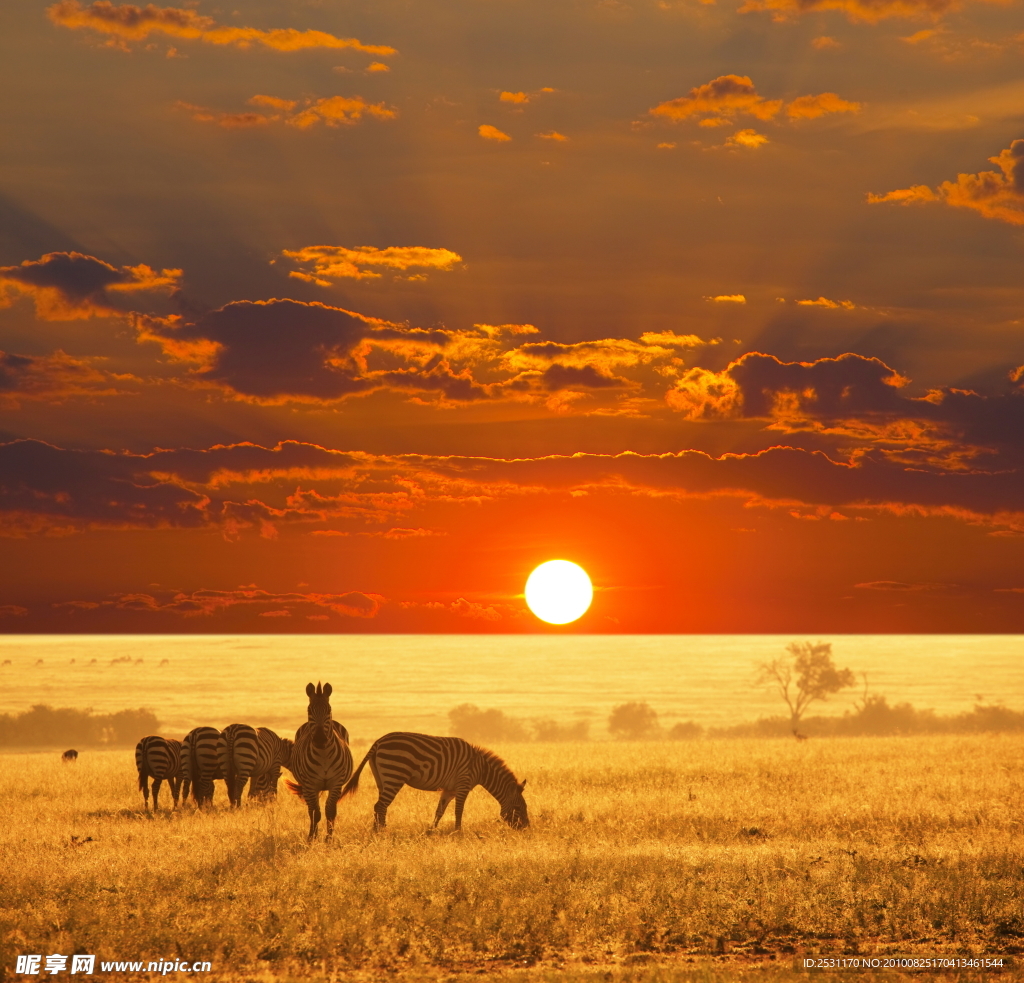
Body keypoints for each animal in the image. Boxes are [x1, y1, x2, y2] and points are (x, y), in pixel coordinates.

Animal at [286, 684, 354, 835]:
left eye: (329, 710)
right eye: (309, 710)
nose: (320, 739)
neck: (323, 754)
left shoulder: (336, 783)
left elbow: (330, 812)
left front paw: (329, 838)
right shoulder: (311, 784)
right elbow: (316, 813)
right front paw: (312, 837)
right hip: (307, 786)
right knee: (311, 810)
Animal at [342, 733, 528, 831]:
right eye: (519, 808)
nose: (527, 828)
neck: (481, 768)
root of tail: (378, 741)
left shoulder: (449, 789)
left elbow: (439, 811)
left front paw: (431, 831)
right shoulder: (463, 784)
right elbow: (459, 811)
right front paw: (458, 833)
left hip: (382, 779)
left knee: (379, 806)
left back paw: (378, 831)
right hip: (394, 774)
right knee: (380, 806)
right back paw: (382, 832)